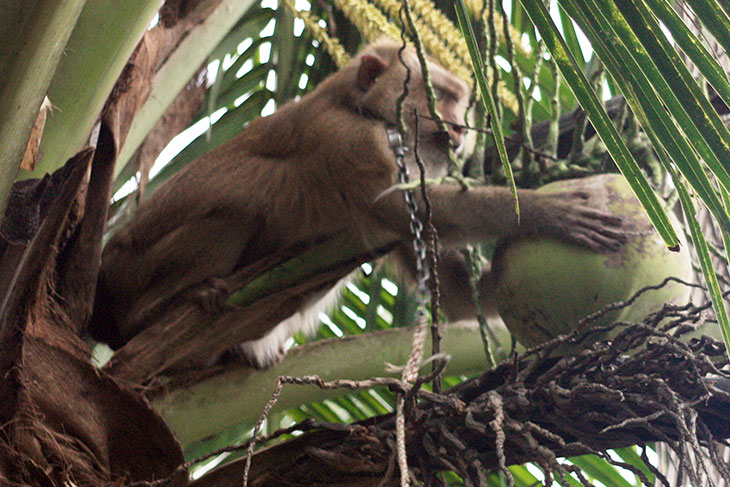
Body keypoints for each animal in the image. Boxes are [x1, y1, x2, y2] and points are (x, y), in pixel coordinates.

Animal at [89, 42, 624, 368]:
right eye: (440, 97)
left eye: (459, 103)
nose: (459, 128)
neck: (355, 104)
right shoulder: (345, 142)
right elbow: (405, 211)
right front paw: (548, 213)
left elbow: (452, 293)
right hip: (132, 271)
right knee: (236, 211)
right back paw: (157, 313)